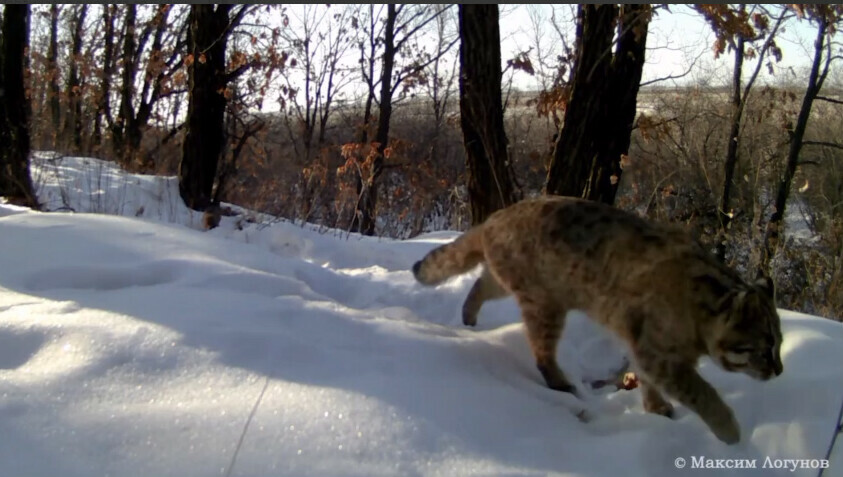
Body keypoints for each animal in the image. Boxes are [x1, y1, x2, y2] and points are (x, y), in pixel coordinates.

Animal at [414, 193, 784, 442]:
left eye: (780, 343)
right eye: (764, 346)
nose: (779, 370)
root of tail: (495, 217)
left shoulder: (646, 349)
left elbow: (652, 381)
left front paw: (658, 409)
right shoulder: (659, 354)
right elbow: (702, 391)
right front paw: (731, 432)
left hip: (512, 285)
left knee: (479, 283)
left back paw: (468, 319)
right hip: (545, 304)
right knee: (541, 353)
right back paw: (562, 384)